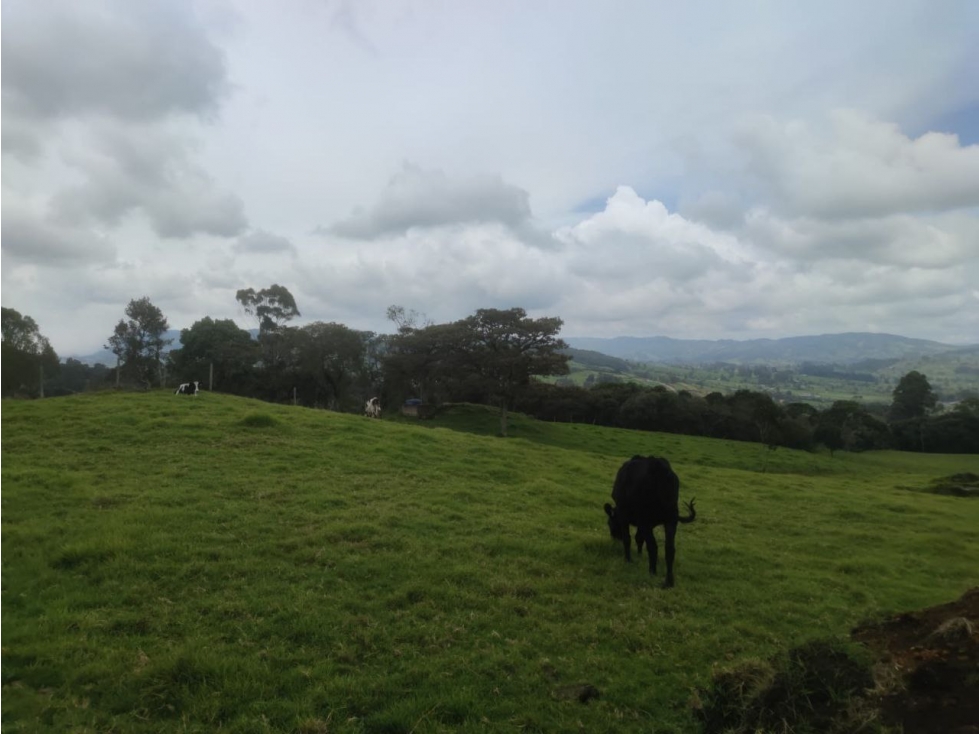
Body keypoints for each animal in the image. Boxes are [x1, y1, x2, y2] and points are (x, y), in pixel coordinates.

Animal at [604, 458, 696, 588]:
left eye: (609, 523)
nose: (614, 537)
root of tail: (660, 468)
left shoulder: (627, 518)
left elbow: (629, 539)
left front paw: (628, 559)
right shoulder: (645, 524)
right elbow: (639, 538)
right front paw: (639, 555)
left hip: (647, 519)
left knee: (653, 546)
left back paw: (652, 572)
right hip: (671, 520)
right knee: (670, 548)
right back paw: (669, 581)